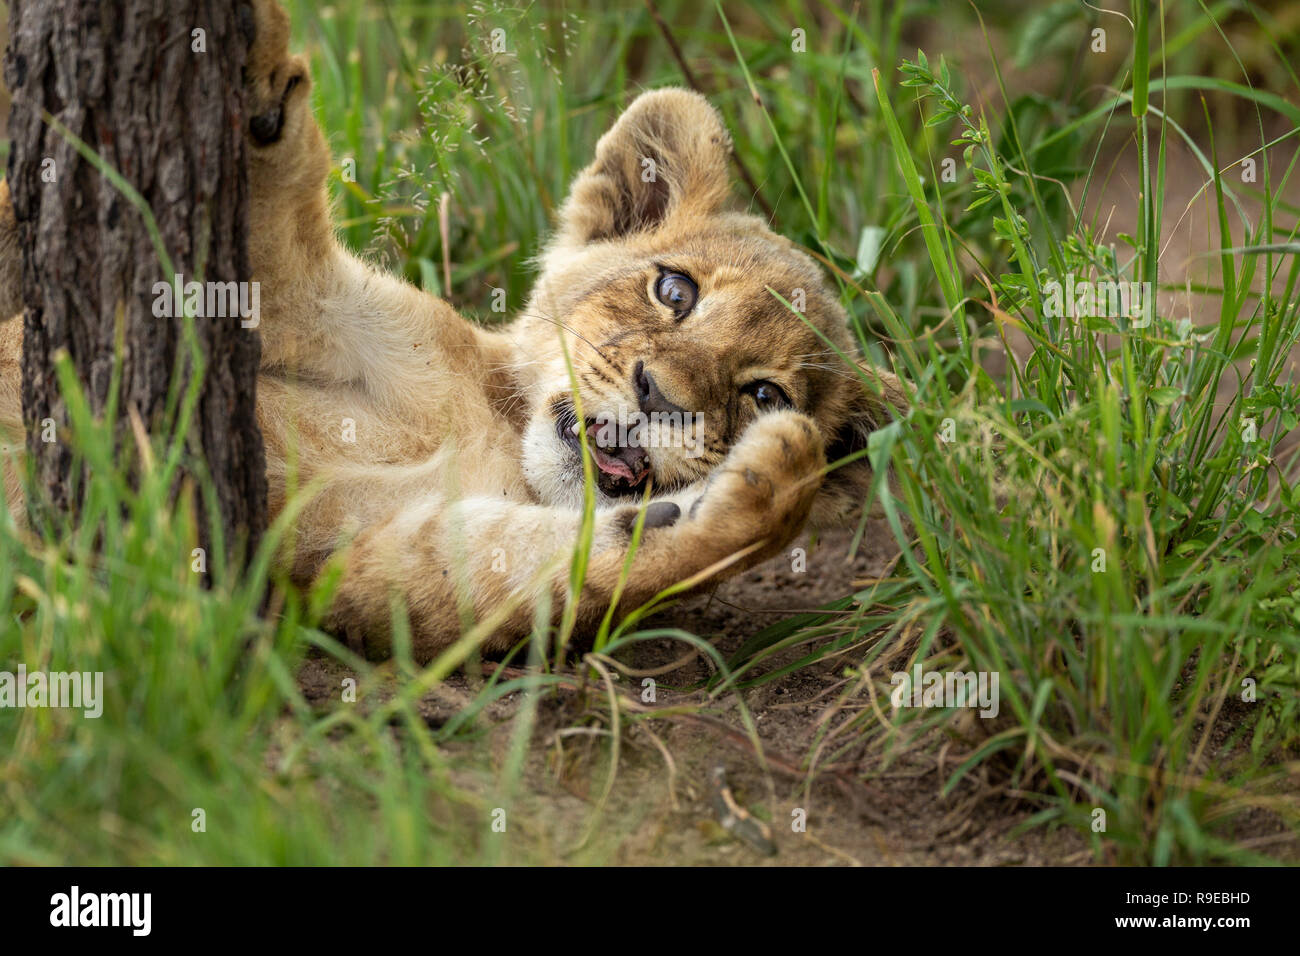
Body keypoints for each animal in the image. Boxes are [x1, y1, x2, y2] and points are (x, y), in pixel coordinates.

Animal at [0, 0, 906, 661]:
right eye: (674, 291)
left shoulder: (357, 573)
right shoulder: (309, 309)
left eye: (766, 394)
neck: (498, 433)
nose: (660, 397)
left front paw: (772, 480)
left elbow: (576, 572)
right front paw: (252, 60)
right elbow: (273, 215)